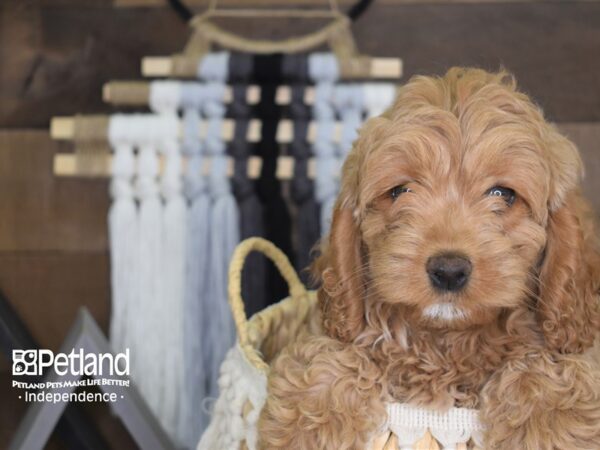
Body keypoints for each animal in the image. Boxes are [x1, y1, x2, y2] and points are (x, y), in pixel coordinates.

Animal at [260, 67, 600, 450]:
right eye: (400, 191)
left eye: (504, 194)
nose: (449, 270)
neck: (445, 341)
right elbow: (330, 351)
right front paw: (308, 424)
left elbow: (546, 360)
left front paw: (548, 422)